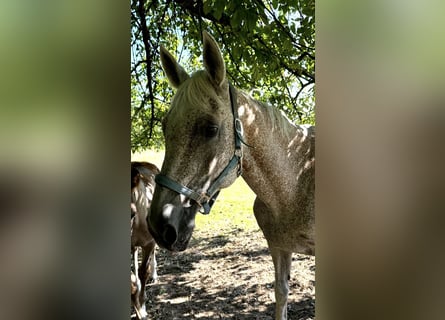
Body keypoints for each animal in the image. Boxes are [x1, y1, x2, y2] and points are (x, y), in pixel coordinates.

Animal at [147, 30, 314, 320]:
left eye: (211, 129)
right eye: (165, 127)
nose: (161, 227)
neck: (295, 184)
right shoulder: (279, 247)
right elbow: (281, 293)